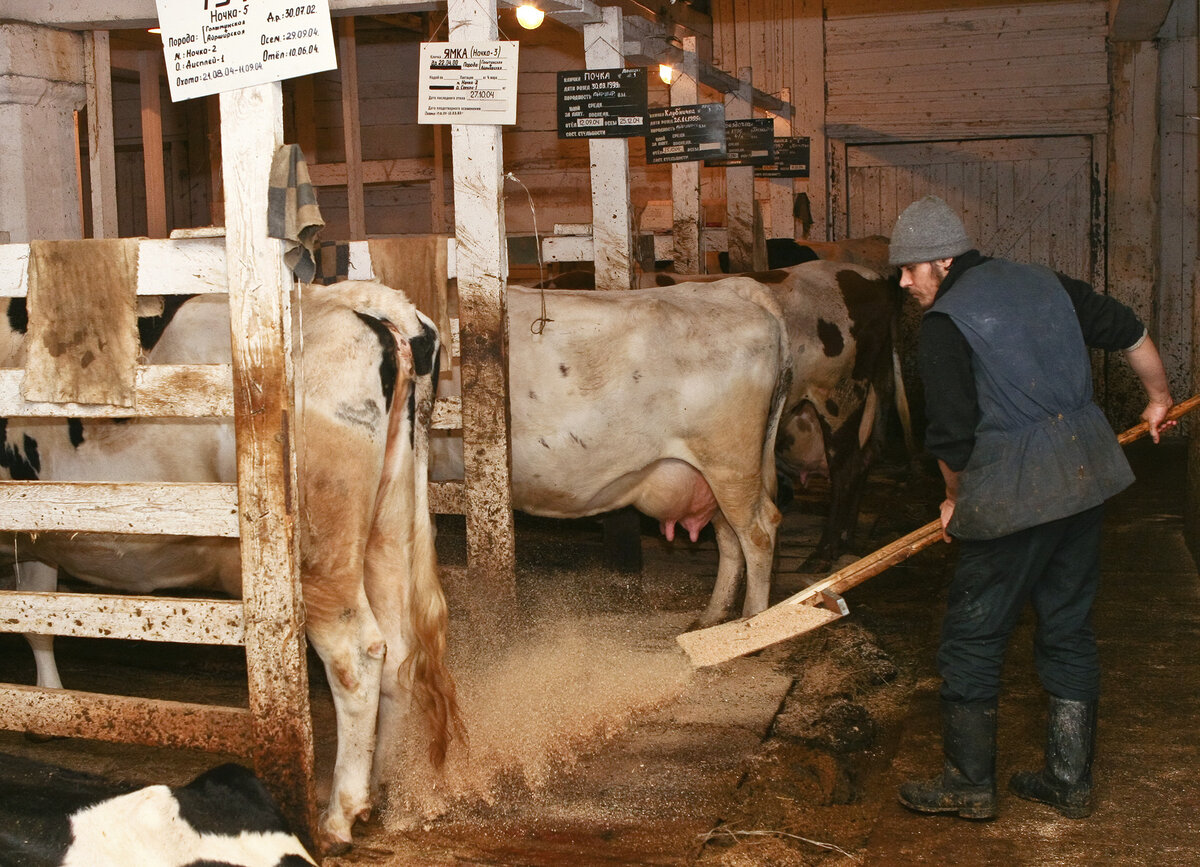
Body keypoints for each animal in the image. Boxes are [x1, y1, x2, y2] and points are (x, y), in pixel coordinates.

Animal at [0, 282, 460, 850]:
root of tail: (370, 306)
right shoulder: (35, 536)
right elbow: (37, 618)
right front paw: (47, 703)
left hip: (319, 553)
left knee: (356, 656)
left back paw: (339, 813)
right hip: (388, 529)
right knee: (398, 652)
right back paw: (384, 787)